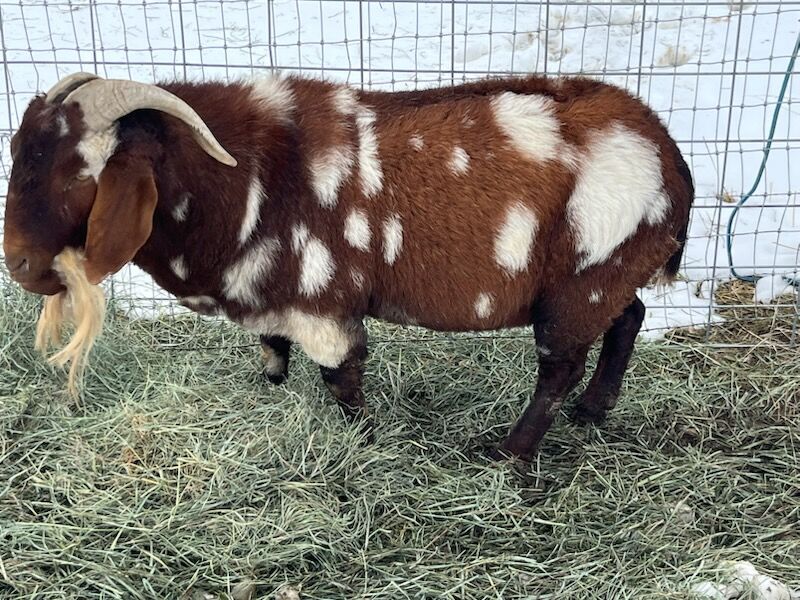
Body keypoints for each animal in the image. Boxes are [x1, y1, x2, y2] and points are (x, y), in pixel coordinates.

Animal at [3, 72, 693, 460]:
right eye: (17, 150)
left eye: (76, 172)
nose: (20, 265)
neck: (252, 179)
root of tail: (669, 156)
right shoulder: (271, 300)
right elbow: (273, 355)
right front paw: (271, 397)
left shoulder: (324, 306)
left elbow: (344, 383)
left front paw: (363, 442)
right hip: (609, 274)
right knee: (631, 317)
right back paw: (594, 411)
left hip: (582, 282)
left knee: (560, 367)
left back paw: (511, 454)